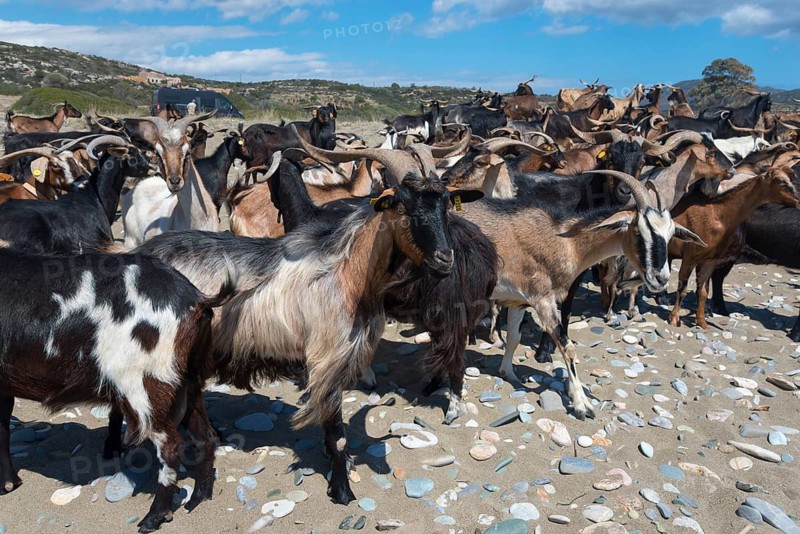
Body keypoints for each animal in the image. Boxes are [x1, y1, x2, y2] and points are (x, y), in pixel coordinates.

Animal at [0, 250, 235, 532]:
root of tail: (195, 299)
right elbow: (2, 428)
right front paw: (9, 484)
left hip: (144, 385)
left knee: (170, 445)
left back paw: (153, 518)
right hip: (189, 380)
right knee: (205, 435)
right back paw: (198, 498)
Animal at [132, 135, 477, 505]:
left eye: (446, 204)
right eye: (402, 205)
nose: (444, 259)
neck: (349, 274)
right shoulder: (327, 360)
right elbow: (338, 434)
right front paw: (342, 490)